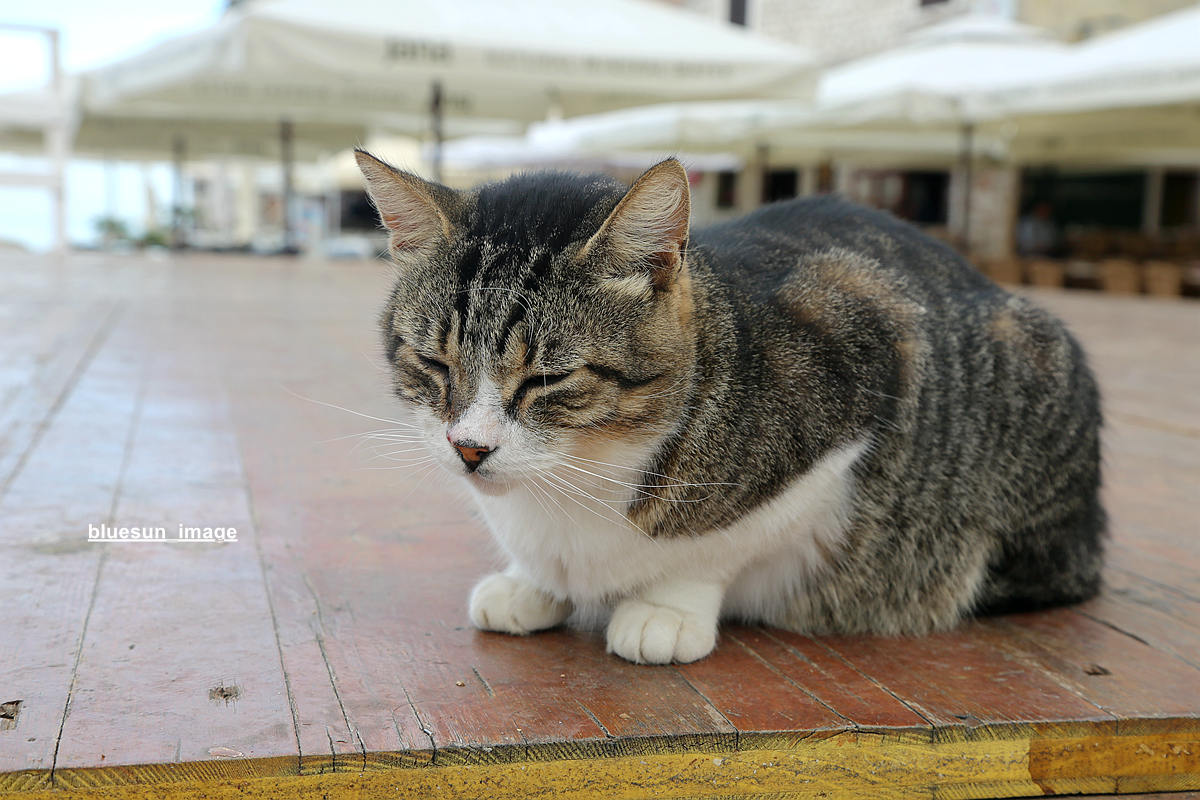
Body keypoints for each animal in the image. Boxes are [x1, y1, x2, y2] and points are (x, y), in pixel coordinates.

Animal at [355, 148, 1104, 662]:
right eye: (433, 362)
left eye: (548, 378)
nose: (469, 447)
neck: (574, 477)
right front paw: (529, 583)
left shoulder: (860, 371)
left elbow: (720, 545)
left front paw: (664, 607)